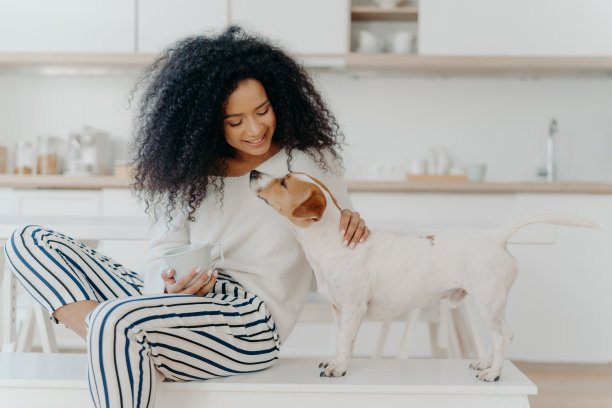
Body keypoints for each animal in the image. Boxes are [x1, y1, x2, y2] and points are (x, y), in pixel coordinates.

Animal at [249, 169, 596, 380]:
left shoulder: (352, 309)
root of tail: (495, 237)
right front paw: (336, 360)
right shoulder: (338, 309)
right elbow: (342, 341)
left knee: (504, 336)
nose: (253, 172)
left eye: (284, 182)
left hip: (488, 302)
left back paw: (493, 373)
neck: (331, 244)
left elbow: (346, 341)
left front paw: (340, 368)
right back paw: (485, 362)